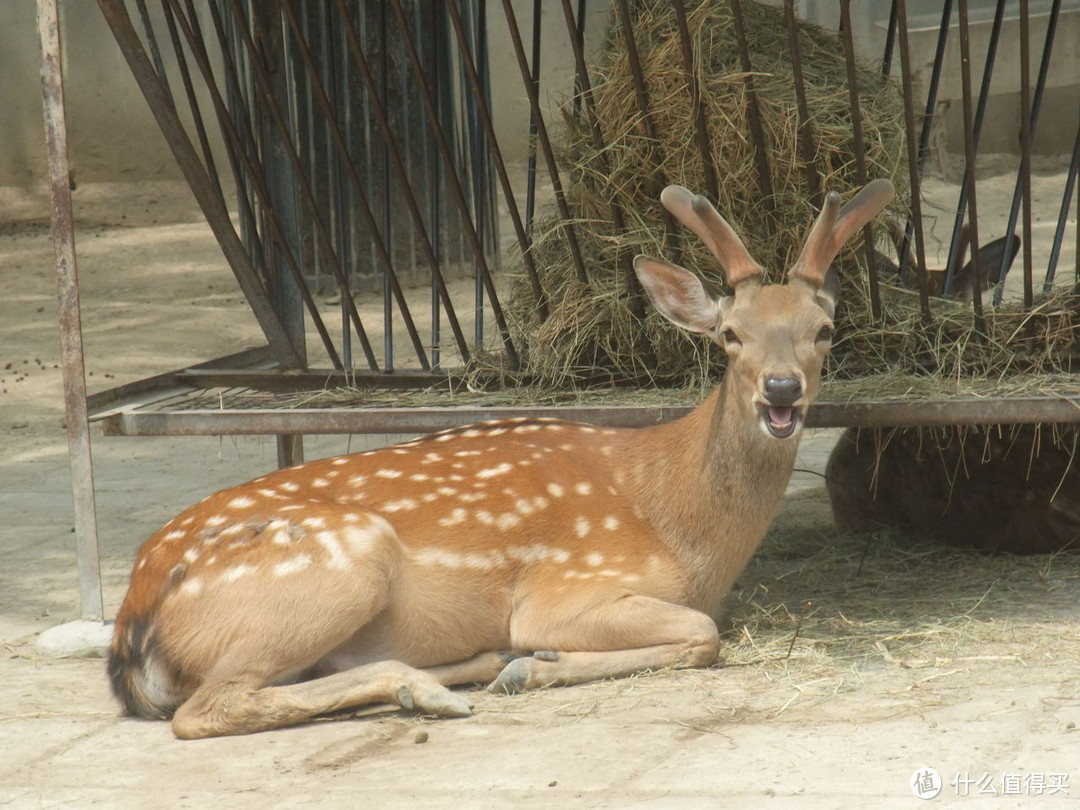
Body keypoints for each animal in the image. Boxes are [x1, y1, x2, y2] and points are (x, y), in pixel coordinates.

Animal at [107, 180, 894, 738]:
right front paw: (537, 667)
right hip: (341, 562)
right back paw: (434, 689)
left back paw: (466, 669)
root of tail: (131, 625)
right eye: (731, 335)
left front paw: (525, 667)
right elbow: (706, 634)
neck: (679, 522)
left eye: (824, 330)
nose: (781, 389)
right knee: (206, 709)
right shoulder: (568, 588)